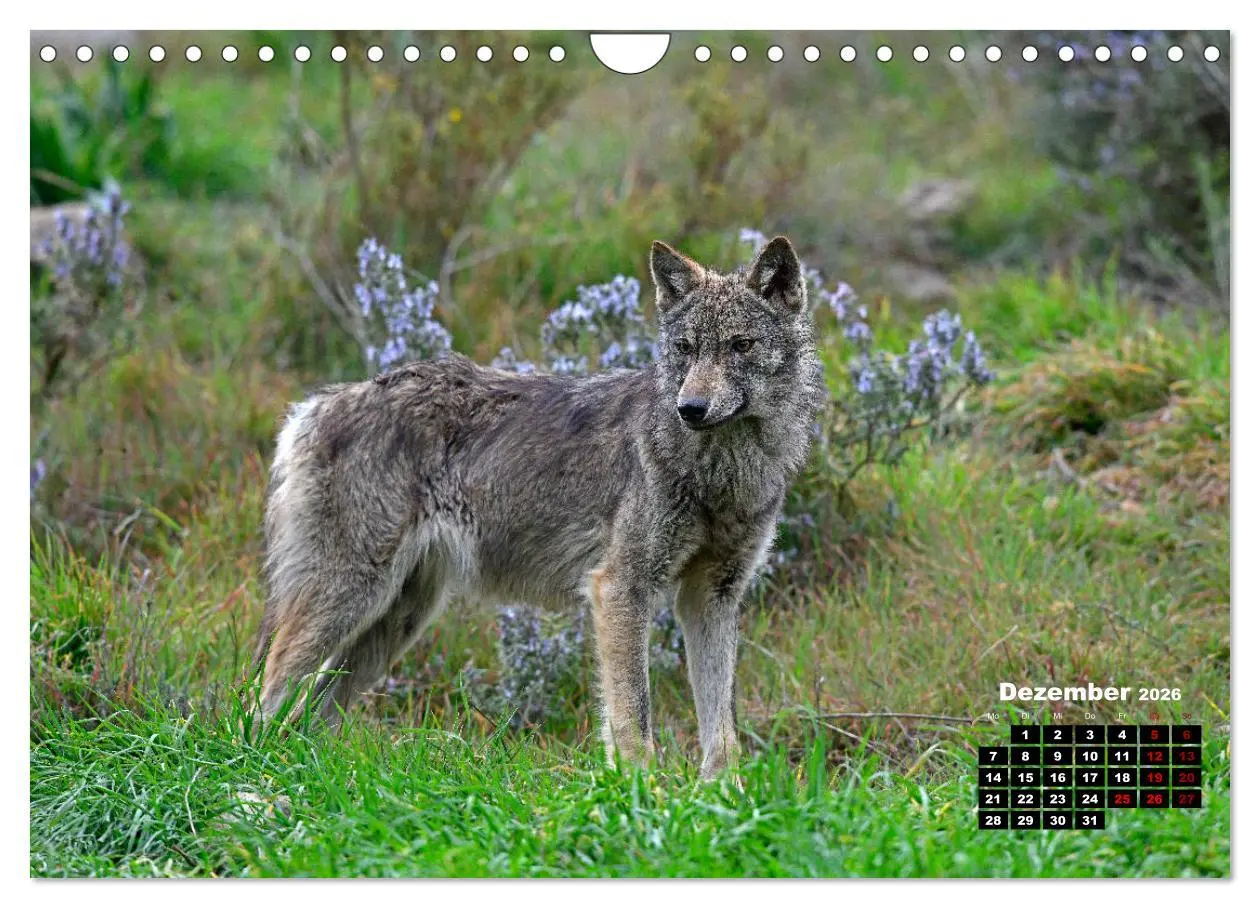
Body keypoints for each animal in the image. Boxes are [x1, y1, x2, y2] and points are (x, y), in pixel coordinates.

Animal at [253, 236, 824, 779]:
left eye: (740, 345)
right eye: (686, 348)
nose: (691, 408)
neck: (722, 471)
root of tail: (313, 406)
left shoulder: (713, 595)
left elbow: (722, 732)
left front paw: (723, 797)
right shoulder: (621, 587)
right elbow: (633, 717)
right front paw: (641, 793)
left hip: (396, 620)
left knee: (310, 712)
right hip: (350, 597)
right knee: (266, 693)